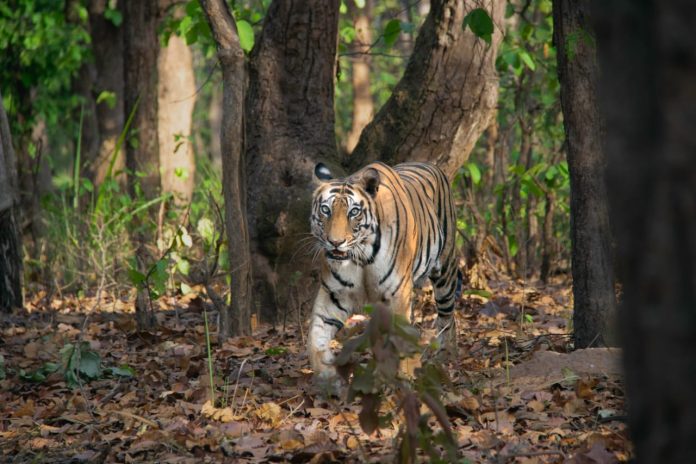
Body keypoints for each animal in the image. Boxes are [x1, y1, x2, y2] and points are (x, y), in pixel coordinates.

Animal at [307, 161, 462, 385]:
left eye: (353, 212)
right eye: (325, 210)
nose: (335, 242)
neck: (360, 256)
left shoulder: (398, 293)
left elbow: (403, 334)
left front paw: (407, 375)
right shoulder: (334, 294)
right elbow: (316, 335)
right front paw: (326, 373)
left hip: (445, 273)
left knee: (447, 317)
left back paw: (445, 357)